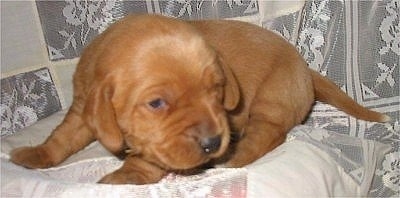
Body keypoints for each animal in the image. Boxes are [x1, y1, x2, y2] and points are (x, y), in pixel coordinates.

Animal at [10, 14, 390, 185]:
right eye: (157, 103)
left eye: (216, 90)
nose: (212, 143)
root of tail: (306, 68)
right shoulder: (81, 110)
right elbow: (62, 138)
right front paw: (35, 155)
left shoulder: (161, 146)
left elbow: (149, 160)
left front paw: (126, 176)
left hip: (271, 100)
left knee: (270, 135)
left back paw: (236, 156)